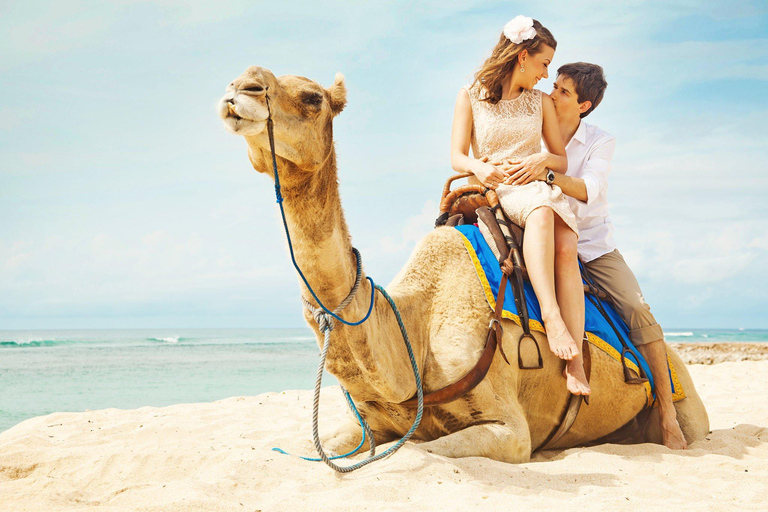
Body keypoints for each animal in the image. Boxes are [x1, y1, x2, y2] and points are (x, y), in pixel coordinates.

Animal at [216, 66, 708, 462]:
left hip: (681, 393)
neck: (415, 322)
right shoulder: (368, 424)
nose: (240, 88)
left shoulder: (511, 430)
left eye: (312, 98)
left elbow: (420, 450)